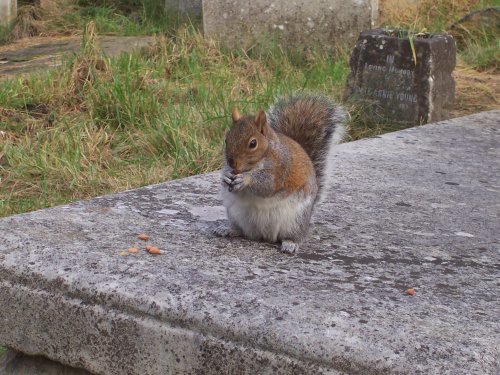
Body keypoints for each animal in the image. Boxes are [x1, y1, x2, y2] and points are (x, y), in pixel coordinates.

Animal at [213, 94, 346, 254]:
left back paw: (290, 243)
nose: (232, 163)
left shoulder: (281, 170)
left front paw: (245, 180)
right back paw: (228, 229)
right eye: (226, 139)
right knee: (241, 230)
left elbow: (267, 185)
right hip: (235, 214)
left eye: (253, 143)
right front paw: (226, 176)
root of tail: (264, 235)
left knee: (295, 235)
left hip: (295, 220)